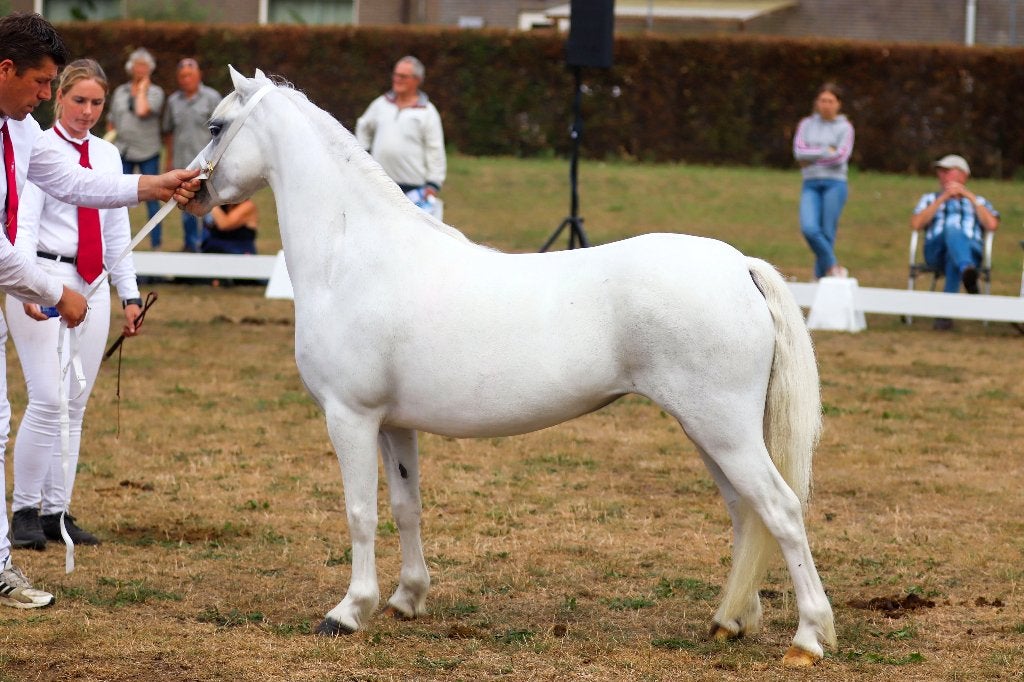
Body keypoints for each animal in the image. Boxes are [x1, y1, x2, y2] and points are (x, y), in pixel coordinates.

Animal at [187, 68, 836, 667]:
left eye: (215, 126)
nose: (190, 193)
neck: (353, 257)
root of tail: (739, 266)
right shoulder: (394, 424)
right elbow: (405, 507)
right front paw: (407, 599)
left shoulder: (351, 417)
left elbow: (359, 513)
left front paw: (349, 611)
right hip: (711, 432)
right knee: (747, 514)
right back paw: (731, 621)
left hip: (723, 430)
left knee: (780, 511)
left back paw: (807, 638)